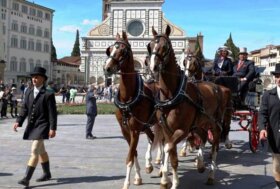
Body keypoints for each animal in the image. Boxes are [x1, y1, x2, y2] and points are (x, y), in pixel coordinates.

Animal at [104, 31, 159, 188]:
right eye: (110, 50)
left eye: (123, 51)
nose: (107, 68)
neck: (127, 96)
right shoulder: (125, 130)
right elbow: (133, 153)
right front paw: (138, 177)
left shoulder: (135, 130)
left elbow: (129, 156)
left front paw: (126, 183)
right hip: (146, 125)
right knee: (153, 138)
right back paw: (150, 165)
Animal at [148, 25, 229, 188]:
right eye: (150, 45)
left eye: (165, 47)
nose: (153, 67)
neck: (172, 95)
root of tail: (216, 87)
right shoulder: (167, 130)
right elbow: (169, 151)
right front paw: (166, 178)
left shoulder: (182, 131)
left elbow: (168, 148)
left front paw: (171, 180)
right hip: (200, 123)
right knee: (203, 137)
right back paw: (200, 164)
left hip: (215, 124)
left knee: (215, 146)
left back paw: (211, 174)